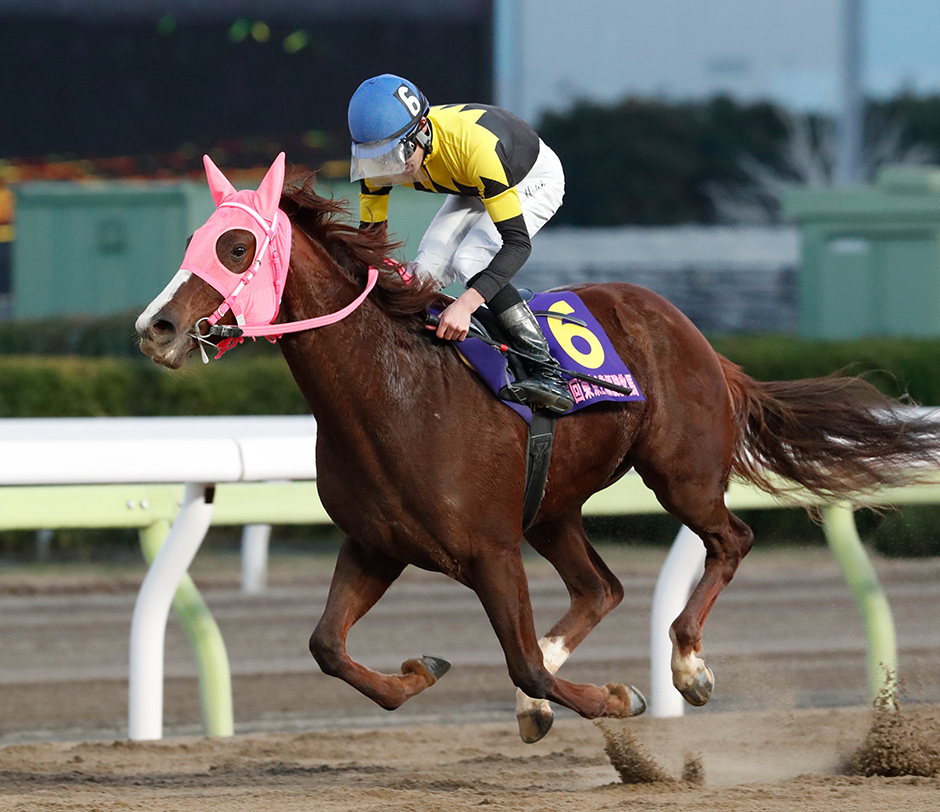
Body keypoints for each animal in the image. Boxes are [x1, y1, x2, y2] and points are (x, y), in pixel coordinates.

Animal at [140, 157, 940, 744]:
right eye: (192, 242)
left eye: (236, 247)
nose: (156, 328)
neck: (394, 394)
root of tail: (697, 337)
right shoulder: (376, 544)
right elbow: (328, 648)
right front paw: (424, 670)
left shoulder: (491, 551)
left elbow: (523, 662)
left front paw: (619, 697)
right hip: (553, 506)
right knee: (601, 588)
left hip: (681, 474)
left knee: (729, 540)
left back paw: (688, 666)